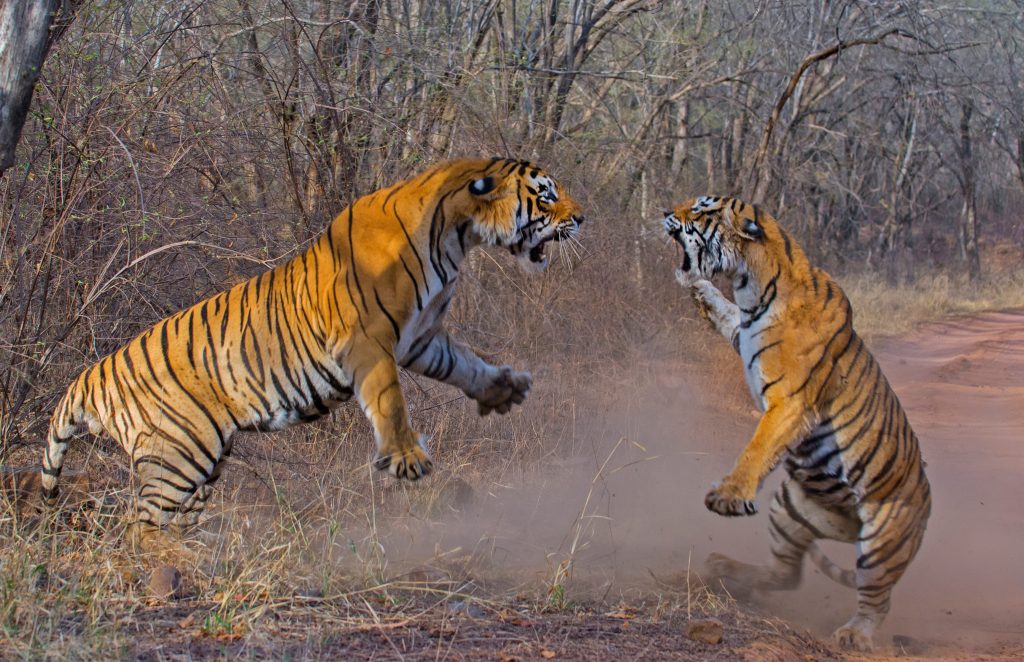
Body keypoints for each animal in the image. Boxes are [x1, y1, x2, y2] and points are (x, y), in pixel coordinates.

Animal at [41, 157, 585, 553]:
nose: (582, 217)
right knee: (141, 526)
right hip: (178, 453)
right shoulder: (367, 339)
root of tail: (91, 375)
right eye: (546, 194)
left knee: (167, 519)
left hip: (200, 463)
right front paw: (407, 458)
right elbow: (390, 399)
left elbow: (465, 363)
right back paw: (181, 564)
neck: (456, 234)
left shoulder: (422, 337)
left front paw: (505, 390)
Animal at [659, 194, 933, 651]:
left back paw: (855, 634)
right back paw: (725, 568)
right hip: (788, 511)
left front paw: (728, 495)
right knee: (785, 575)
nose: (665, 212)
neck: (753, 287)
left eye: (700, 209)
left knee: (877, 599)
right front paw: (701, 292)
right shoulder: (744, 332)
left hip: (881, 542)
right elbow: (725, 313)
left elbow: (757, 448)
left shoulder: (790, 402)